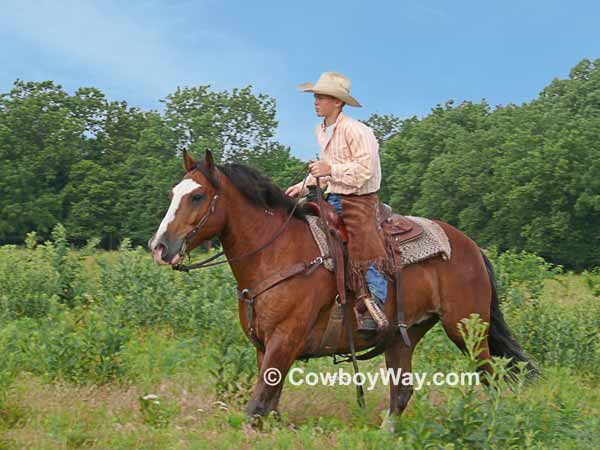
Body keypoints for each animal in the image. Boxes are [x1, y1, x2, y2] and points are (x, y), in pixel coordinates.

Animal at [148, 150, 532, 428]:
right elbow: (270, 406)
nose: (160, 247)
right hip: (403, 335)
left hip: (467, 328)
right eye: (172, 193)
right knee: (401, 393)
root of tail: (471, 247)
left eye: (198, 196)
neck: (276, 252)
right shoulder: (265, 345)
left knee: (491, 378)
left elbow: (256, 408)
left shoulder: (285, 339)